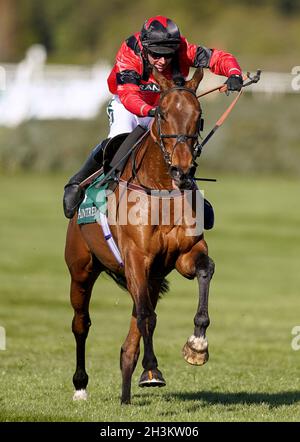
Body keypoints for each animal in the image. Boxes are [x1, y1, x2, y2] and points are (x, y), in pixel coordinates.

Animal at [65, 66, 216, 404]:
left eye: (198, 116)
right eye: (162, 114)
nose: (183, 170)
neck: (161, 190)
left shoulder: (183, 254)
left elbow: (205, 270)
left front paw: (197, 344)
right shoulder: (136, 257)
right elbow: (145, 316)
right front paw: (153, 369)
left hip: (153, 276)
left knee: (136, 327)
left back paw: (125, 393)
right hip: (81, 269)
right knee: (82, 323)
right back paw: (81, 385)